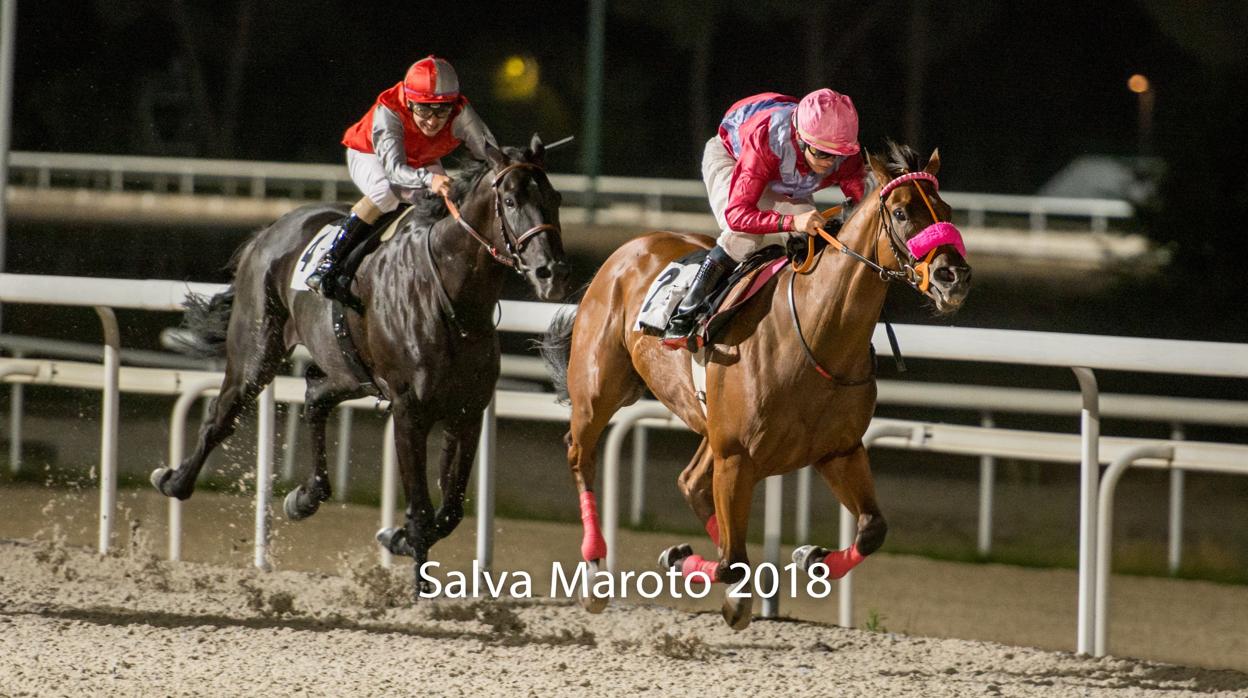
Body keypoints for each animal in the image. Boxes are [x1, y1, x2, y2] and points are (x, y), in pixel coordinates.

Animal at [149, 135, 571, 589]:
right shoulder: (410, 412)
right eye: (510, 200)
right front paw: (419, 583)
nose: (552, 272)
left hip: (348, 369)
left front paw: (397, 539)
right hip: (256, 349)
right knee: (222, 414)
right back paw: (174, 480)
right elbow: (422, 509)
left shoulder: (467, 412)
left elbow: (451, 510)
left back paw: (306, 496)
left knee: (315, 394)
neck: (453, 301)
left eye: (555, 198)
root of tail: (272, 230)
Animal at [541, 142, 968, 629]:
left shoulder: (839, 450)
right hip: (598, 390)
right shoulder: (736, 455)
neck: (816, 335)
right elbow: (732, 561)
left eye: (946, 210)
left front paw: (809, 557)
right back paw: (595, 572)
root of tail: (629, 249)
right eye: (900, 212)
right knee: (582, 454)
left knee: (691, 483)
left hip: (709, 422)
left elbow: (873, 529)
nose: (954, 277)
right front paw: (696, 567)